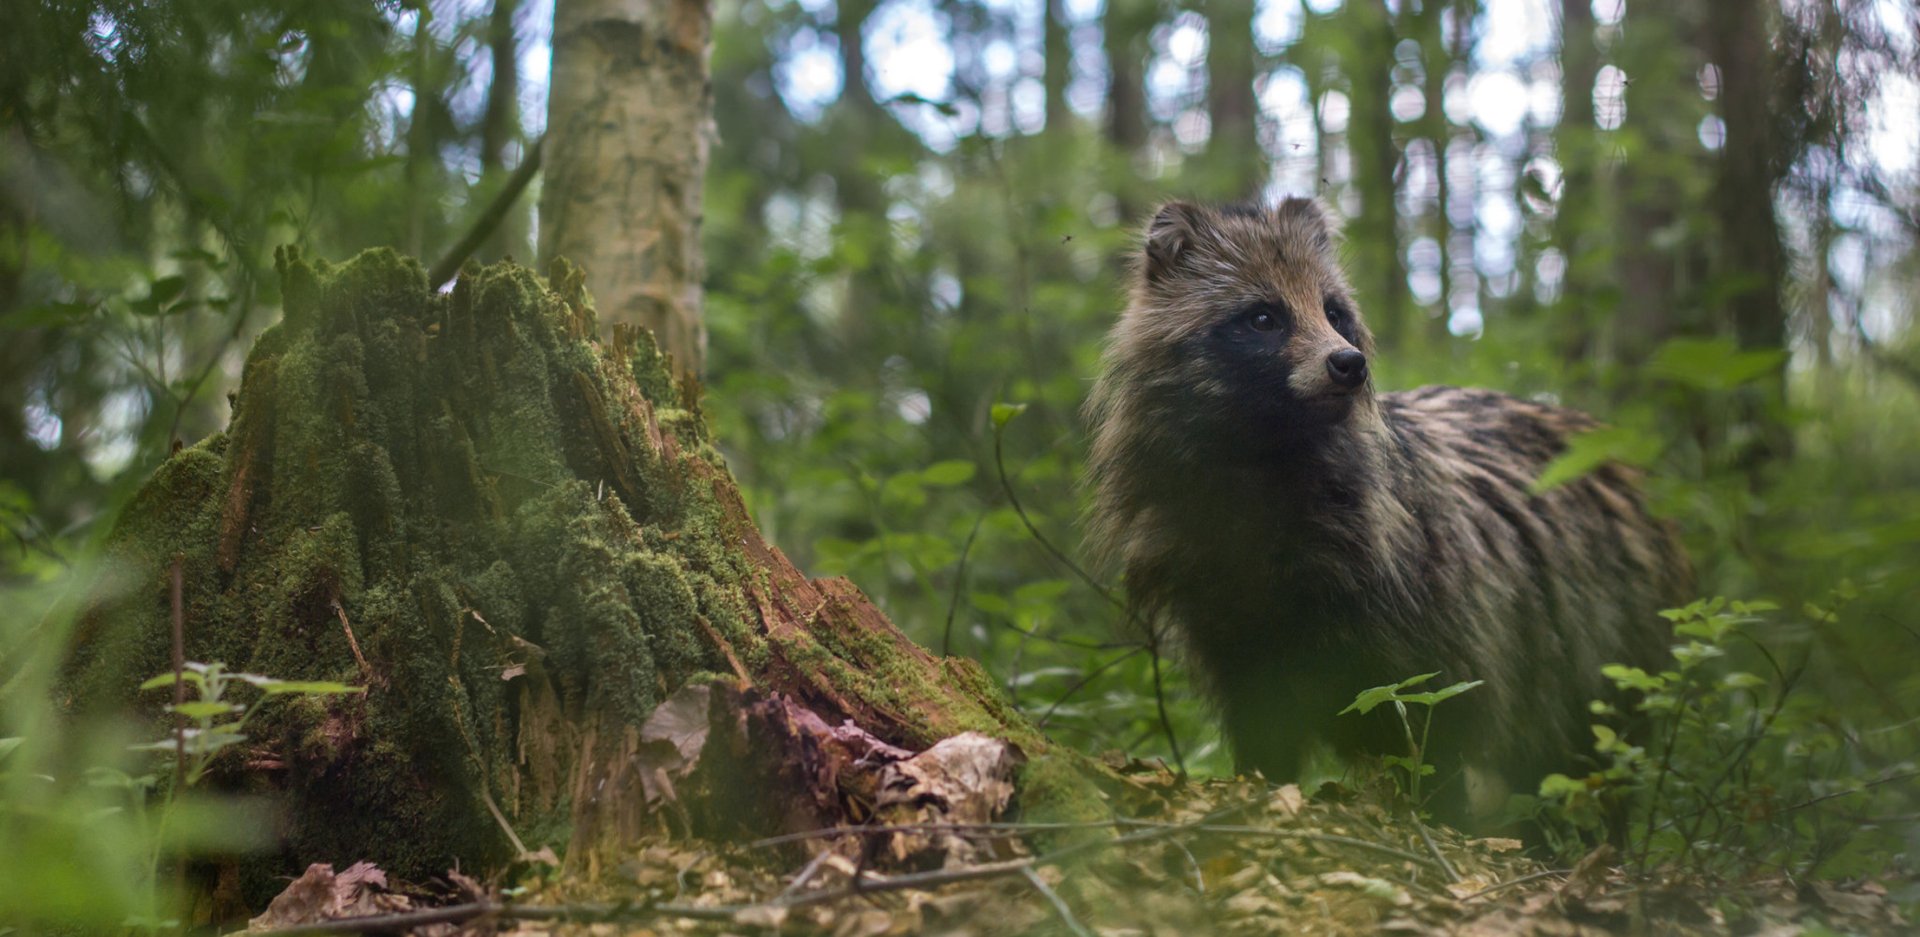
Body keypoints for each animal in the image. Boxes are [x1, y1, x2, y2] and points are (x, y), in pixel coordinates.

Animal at [1082, 198, 1692, 822]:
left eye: (1334, 311)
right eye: (1263, 317)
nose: (1349, 364)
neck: (1265, 460)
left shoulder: (1423, 594)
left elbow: (1438, 726)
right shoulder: (1219, 603)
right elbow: (1263, 729)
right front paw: (1263, 791)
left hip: (1609, 637)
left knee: (1596, 754)